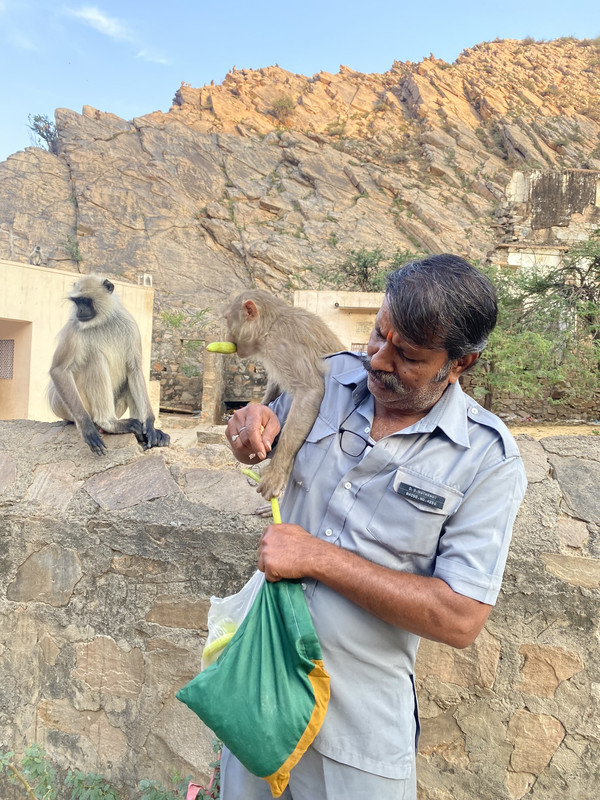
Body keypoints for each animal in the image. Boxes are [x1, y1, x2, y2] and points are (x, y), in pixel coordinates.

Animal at [47, 274, 170, 454]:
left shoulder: (130, 324)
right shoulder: (74, 327)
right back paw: (108, 423)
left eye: (86, 301)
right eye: (77, 302)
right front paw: (86, 427)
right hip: (64, 405)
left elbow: (134, 368)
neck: (101, 321)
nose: (80, 311)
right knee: (94, 358)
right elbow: (59, 370)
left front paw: (149, 424)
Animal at [224, 288, 344, 500]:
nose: (228, 337)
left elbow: (310, 390)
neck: (270, 325)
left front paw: (276, 471)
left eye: (228, 320)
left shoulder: (282, 344)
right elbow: (276, 385)